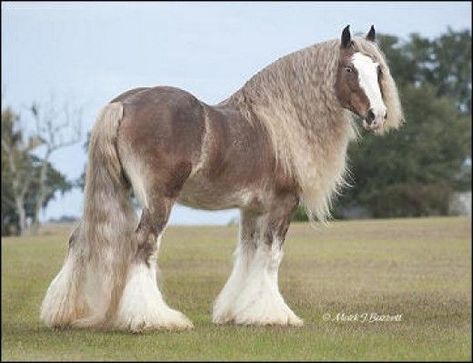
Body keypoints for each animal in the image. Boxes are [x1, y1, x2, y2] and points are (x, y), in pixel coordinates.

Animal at [39, 24, 402, 332]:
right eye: (349, 69)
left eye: (377, 69)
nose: (377, 115)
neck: (276, 123)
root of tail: (124, 104)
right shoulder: (283, 205)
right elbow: (272, 257)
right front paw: (274, 314)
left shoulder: (252, 210)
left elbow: (249, 254)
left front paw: (237, 311)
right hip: (158, 200)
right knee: (144, 244)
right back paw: (153, 318)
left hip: (113, 190)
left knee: (80, 238)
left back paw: (62, 312)